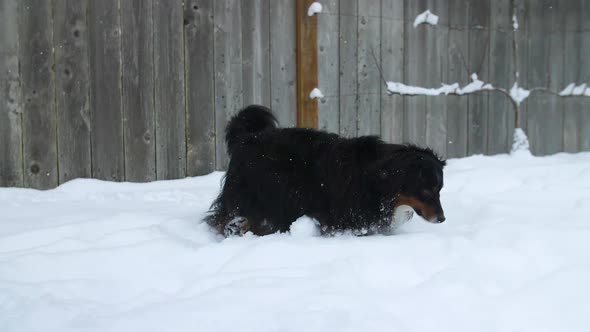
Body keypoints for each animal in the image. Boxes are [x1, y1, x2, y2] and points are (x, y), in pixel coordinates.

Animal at [206, 104, 446, 236]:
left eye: (439, 190)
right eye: (426, 190)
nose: (442, 219)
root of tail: (247, 138)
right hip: (257, 197)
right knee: (230, 221)